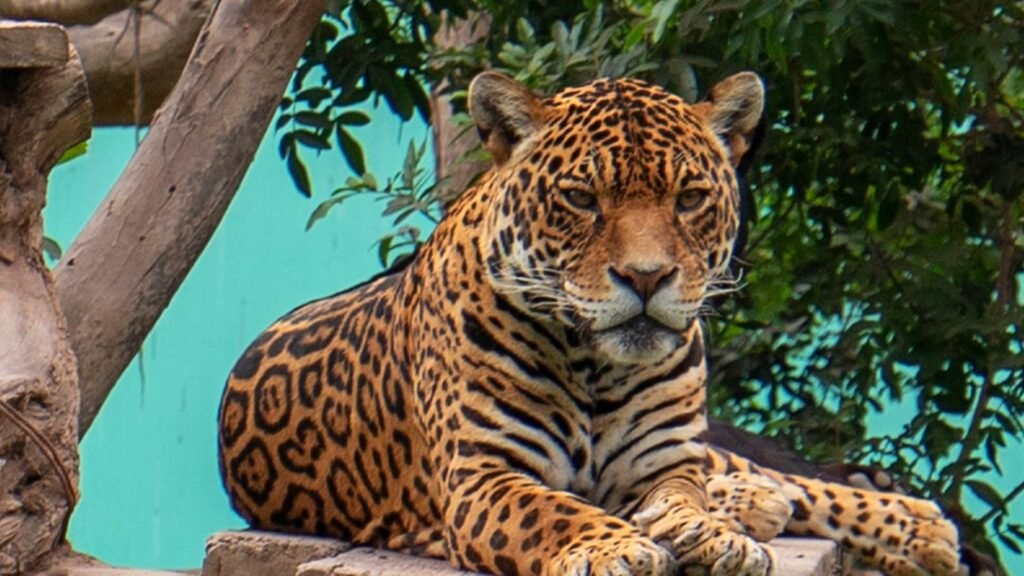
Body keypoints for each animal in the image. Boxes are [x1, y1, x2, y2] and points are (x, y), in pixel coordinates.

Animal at [218, 71, 963, 576]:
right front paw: (617, 546)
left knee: (772, 477)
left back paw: (911, 525)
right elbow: (552, 511)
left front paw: (711, 533)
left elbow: (685, 494)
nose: (646, 277)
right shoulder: (484, 477)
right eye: (580, 198)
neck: (595, 365)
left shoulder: (665, 460)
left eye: (688, 197)